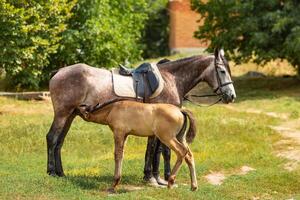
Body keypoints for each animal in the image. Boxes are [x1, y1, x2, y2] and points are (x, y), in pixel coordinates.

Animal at [46, 48, 237, 183]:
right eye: (222, 71)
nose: (231, 96)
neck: (171, 79)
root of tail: (59, 72)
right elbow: (160, 149)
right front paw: (156, 177)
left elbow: (156, 149)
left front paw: (155, 176)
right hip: (62, 114)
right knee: (52, 138)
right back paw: (51, 172)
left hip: (70, 115)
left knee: (59, 142)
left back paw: (61, 173)